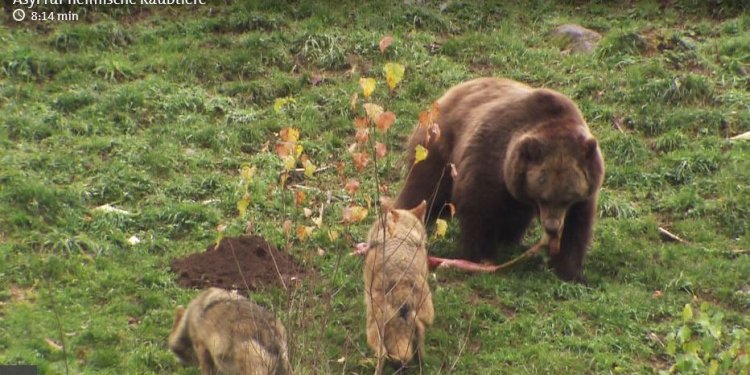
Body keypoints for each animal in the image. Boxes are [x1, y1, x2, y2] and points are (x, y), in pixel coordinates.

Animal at [396, 78, 608, 284]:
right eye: (544, 198)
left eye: (567, 198)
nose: (552, 227)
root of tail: (449, 93)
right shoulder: (491, 157)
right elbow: (478, 208)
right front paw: (482, 257)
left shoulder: (584, 190)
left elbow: (577, 227)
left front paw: (571, 272)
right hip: (438, 148)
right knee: (425, 190)